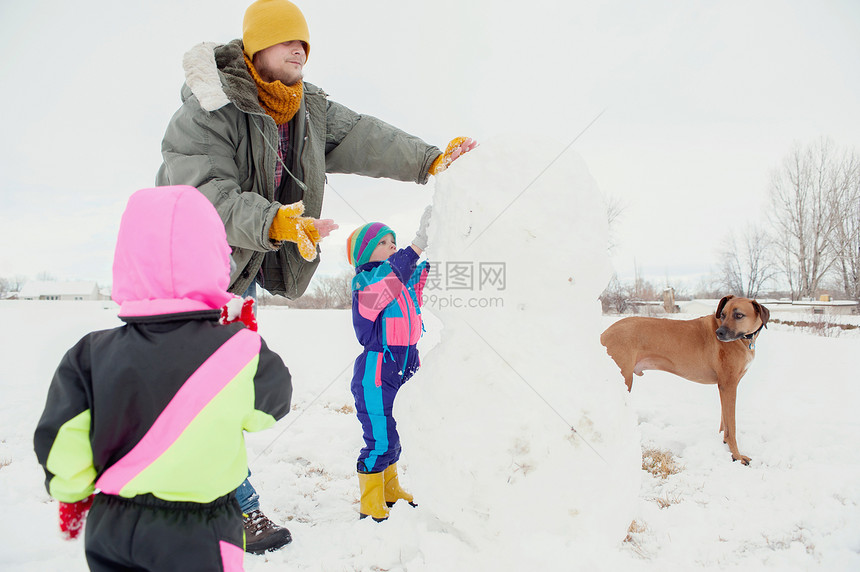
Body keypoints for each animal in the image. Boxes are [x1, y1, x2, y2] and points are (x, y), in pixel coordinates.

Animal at [596, 294, 772, 464]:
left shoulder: (726, 387)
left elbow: (725, 422)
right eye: (723, 314)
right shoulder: (728, 385)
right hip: (623, 380)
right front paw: (737, 456)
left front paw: (724, 445)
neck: (744, 338)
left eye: (739, 315)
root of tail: (604, 334)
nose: (719, 333)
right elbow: (732, 427)